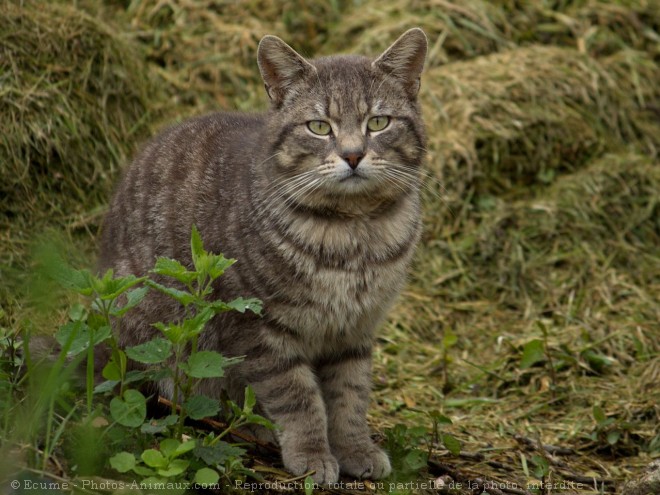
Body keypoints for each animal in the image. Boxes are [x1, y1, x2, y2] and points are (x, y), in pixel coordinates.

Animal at [98, 28, 428, 484]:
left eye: (378, 122)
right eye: (319, 127)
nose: (353, 154)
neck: (352, 231)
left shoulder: (355, 330)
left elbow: (350, 396)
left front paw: (354, 448)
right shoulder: (259, 327)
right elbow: (298, 398)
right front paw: (312, 454)